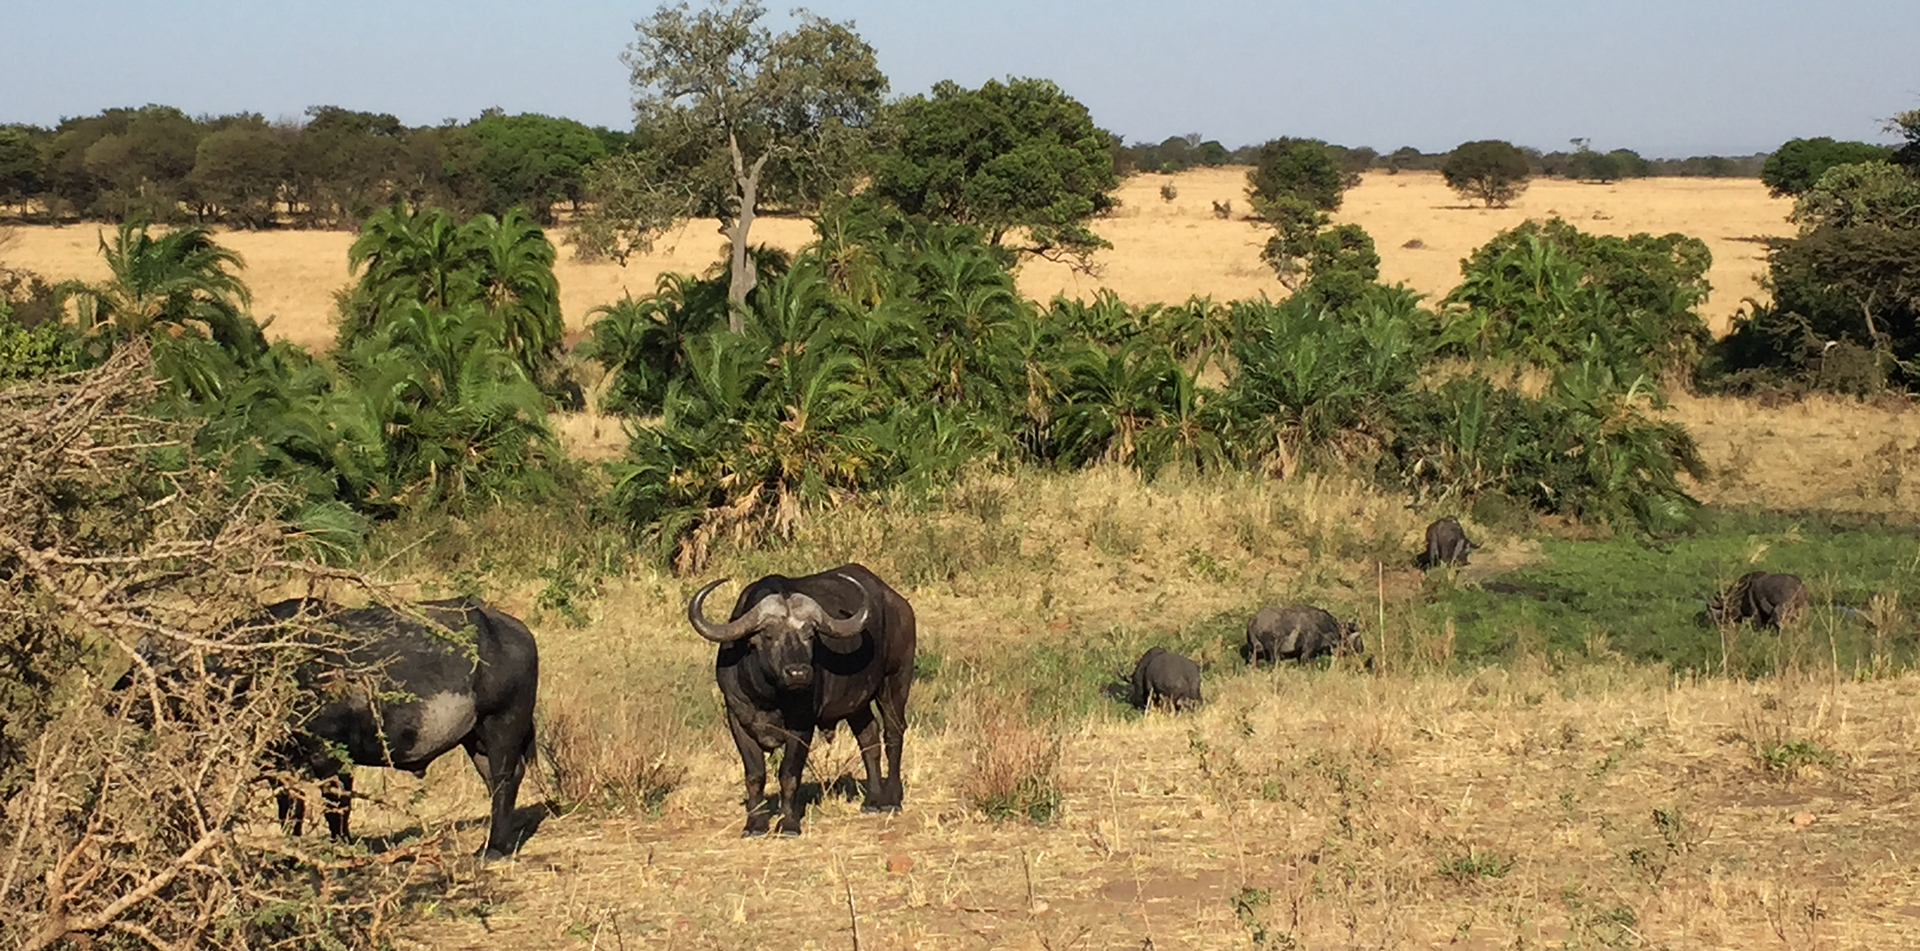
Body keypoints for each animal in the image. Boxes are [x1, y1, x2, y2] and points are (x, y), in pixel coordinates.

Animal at [119, 599, 541, 860]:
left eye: (151, 678)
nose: (114, 702)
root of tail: (517, 631)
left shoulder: (333, 762)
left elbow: (337, 810)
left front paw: (342, 851)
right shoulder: (278, 765)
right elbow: (290, 812)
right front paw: (290, 858)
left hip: (502, 727)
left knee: (506, 779)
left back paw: (492, 849)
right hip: (476, 739)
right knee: (497, 782)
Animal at [687, 560, 917, 837]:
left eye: (810, 635)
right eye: (768, 635)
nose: (799, 673)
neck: (769, 697)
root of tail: (900, 604)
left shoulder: (801, 725)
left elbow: (788, 773)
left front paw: (788, 824)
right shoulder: (737, 719)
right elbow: (754, 775)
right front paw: (755, 824)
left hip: (895, 681)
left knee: (893, 734)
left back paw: (892, 799)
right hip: (857, 702)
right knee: (869, 738)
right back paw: (872, 800)